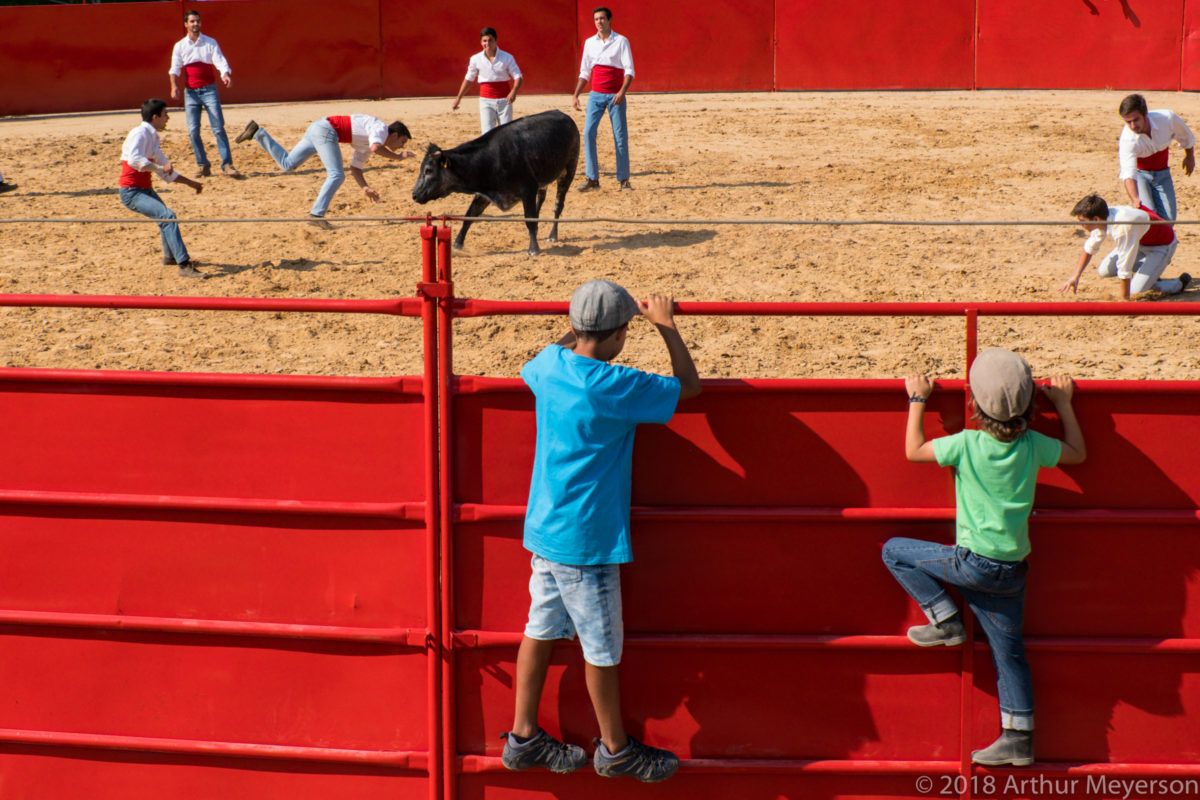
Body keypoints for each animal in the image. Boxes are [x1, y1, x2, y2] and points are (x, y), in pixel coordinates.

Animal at [412, 110, 580, 256]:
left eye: (428, 170)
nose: (414, 195)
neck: (493, 159)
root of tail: (565, 117)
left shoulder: (528, 189)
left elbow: (529, 219)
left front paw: (533, 249)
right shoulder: (484, 194)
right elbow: (470, 215)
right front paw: (457, 245)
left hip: (568, 172)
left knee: (558, 205)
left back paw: (552, 236)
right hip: (544, 179)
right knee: (541, 200)